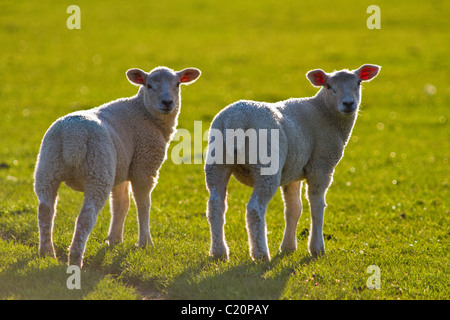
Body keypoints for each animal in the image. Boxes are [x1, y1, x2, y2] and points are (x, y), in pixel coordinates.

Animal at [32, 64, 200, 264]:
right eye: (149, 85)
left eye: (177, 84)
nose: (167, 102)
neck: (144, 112)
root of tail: (73, 137)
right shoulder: (144, 167)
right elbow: (143, 204)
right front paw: (145, 243)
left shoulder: (122, 169)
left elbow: (121, 204)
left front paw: (114, 240)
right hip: (98, 171)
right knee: (86, 217)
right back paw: (75, 257)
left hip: (48, 168)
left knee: (45, 210)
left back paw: (46, 253)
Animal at [206, 63, 382, 262]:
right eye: (329, 86)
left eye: (358, 82)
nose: (348, 103)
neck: (324, 113)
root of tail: (235, 120)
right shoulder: (321, 166)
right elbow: (317, 207)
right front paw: (317, 249)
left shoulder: (293, 171)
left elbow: (293, 209)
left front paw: (288, 247)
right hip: (266, 166)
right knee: (255, 209)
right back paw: (260, 254)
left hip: (216, 163)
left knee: (215, 206)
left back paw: (219, 252)